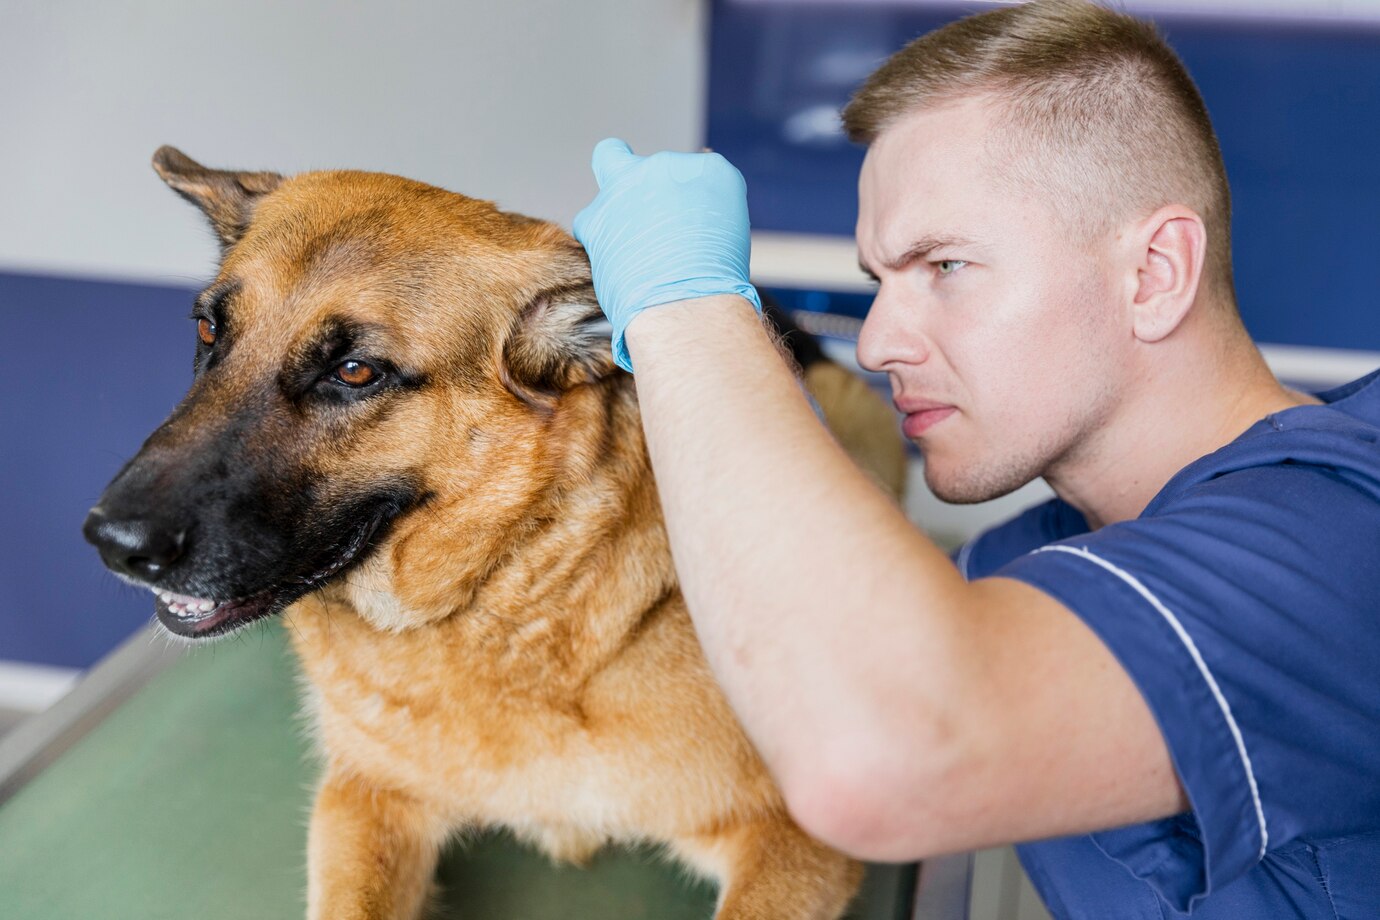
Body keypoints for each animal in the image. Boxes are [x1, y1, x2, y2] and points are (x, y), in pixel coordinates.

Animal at [83, 147, 905, 915]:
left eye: (354, 372)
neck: (500, 595)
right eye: (206, 328)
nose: (110, 542)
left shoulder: (794, 839)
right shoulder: (366, 797)